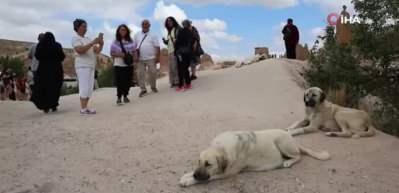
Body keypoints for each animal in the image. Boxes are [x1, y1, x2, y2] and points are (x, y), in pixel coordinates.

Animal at [180, 130, 330, 187]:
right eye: (199, 162)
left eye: (208, 164)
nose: (196, 174)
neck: (221, 147)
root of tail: (291, 138)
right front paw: (187, 175)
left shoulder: (227, 173)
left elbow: (209, 177)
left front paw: (189, 181)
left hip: (282, 143)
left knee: (298, 156)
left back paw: (287, 162)